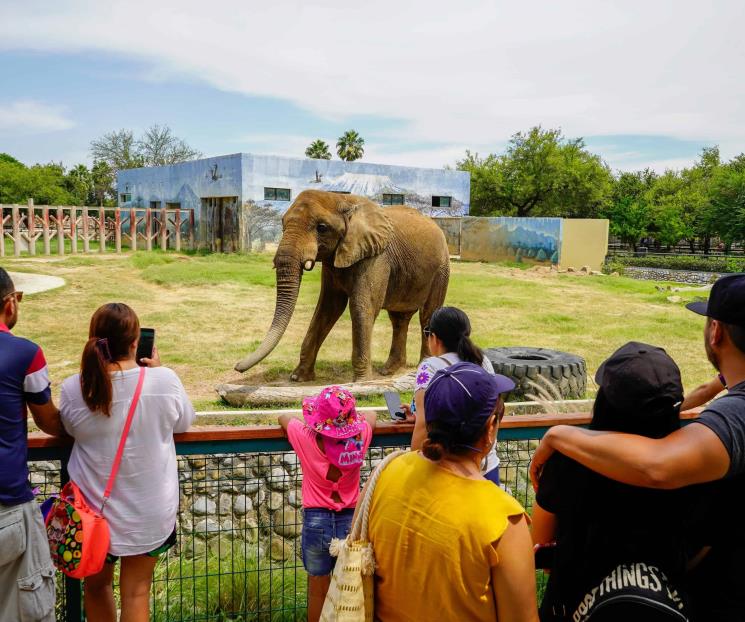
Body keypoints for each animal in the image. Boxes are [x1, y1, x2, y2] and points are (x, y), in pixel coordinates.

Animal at [235, 190, 450, 382]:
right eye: (282, 224)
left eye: (322, 227)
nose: (237, 366)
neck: (341, 199)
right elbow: (328, 307)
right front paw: (298, 378)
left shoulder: (376, 256)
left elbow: (362, 307)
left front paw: (361, 382)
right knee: (399, 319)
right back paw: (387, 371)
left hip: (441, 269)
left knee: (428, 314)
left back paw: (425, 366)